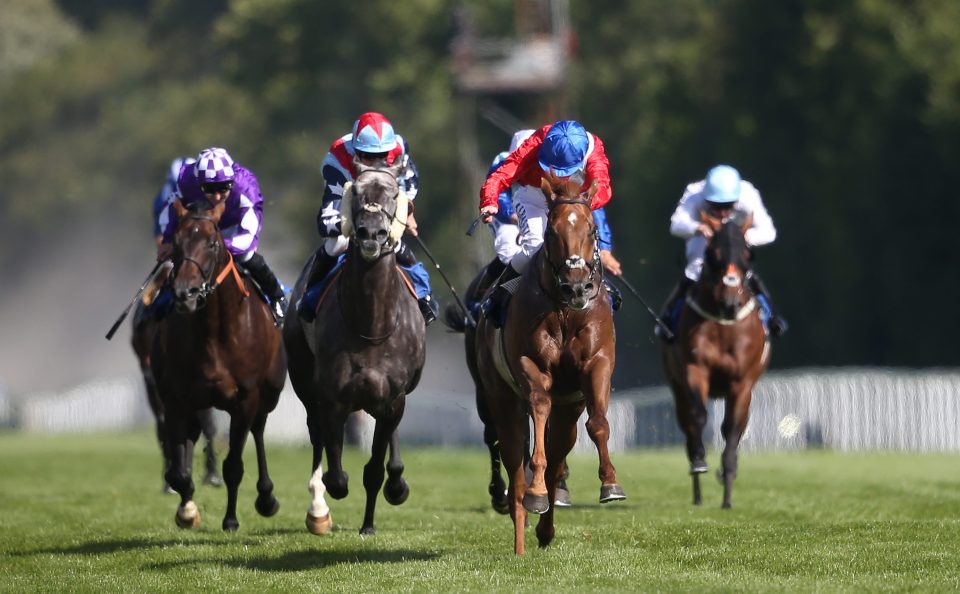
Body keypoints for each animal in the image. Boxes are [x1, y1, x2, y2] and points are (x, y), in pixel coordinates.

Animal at [152, 198, 286, 528]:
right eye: (177, 243)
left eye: (212, 244)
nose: (185, 293)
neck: (213, 332)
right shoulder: (175, 399)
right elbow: (178, 472)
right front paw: (187, 509)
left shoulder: (246, 399)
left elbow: (234, 466)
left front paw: (231, 520)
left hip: (268, 394)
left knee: (259, 430)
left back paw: (266, 497)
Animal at [282, 163, 424, 536]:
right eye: (357, 191)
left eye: (393, 192)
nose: (371, 233)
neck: (371, 324)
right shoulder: (333, 397)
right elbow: (336, 472)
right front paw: (328, 498)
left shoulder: (392, 397)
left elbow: (373, 469)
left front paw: (369, 524)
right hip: (303, 379)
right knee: (316, 434)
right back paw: (318, 509)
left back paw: (396, 483)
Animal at [472, 172, 624, 556]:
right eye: (552, 232)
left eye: (592, 230)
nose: (577, 287)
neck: (566, 310)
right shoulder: (531, 365)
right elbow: (538, 410)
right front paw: (536, 492)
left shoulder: (597, 364)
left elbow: (599, 423)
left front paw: (611, 483)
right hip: (499, 398)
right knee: (515, 463)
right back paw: (522, 533)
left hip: (568, 410)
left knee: (557, 457)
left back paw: (545, 529)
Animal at [660, 210, 772, 506]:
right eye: (713, 254)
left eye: (747, 254)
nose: (731, 302)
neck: (724, 323)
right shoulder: (695, 369)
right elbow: (698, 416)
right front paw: (700, 461)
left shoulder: (742, 382)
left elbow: (732, 427)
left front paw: (728, 490)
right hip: (676, 385)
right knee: (687, 422)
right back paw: (698, 493)